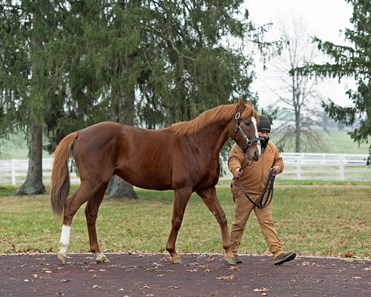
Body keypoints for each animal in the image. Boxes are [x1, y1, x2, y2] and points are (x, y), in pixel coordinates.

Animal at [50, 98, 262, 264]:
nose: (256, 153)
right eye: (246, 123)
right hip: (91, 182)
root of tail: (80, 132)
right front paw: (173, 253)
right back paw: (62, 251)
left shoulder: (207, 189)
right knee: (70, 207)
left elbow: (222, 217)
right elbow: (177, 220)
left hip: (100, 184)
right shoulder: (183, 189)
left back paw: (98, 254)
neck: (197, 144)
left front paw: (229, 253)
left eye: (256, 122)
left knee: (91, 213)